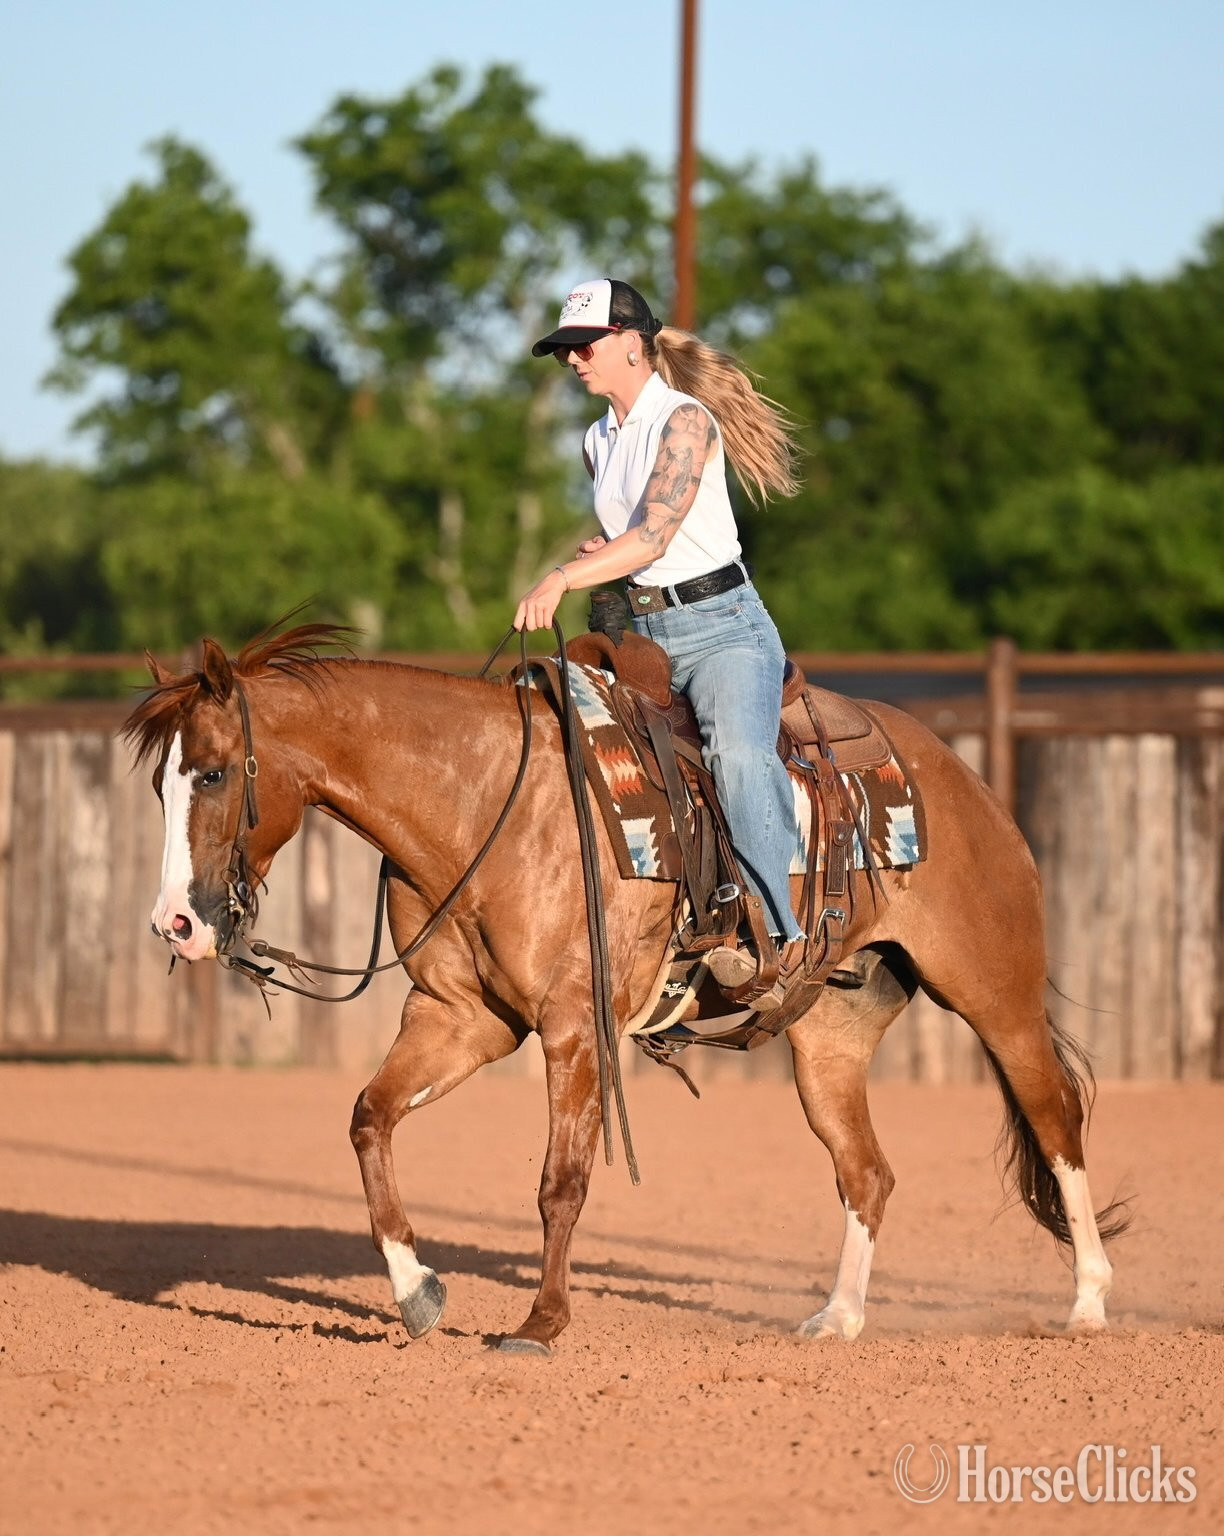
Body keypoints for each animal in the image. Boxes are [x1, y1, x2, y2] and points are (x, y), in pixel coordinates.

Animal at [123, 622, 1125, 1355]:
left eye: (213, 771)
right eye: (160, 785)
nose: (174, 923)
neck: (486, 804)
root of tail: (964, 780)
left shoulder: (573, 1024)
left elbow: (559, 1181)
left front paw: (539, 1324)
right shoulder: (461, 1019)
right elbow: (370, 1118)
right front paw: (416, 1294)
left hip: (996, 995)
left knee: (1057, 1121)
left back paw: (1087, 1304)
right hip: (829, 1039)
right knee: (866, 1172)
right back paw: (837, 1319)